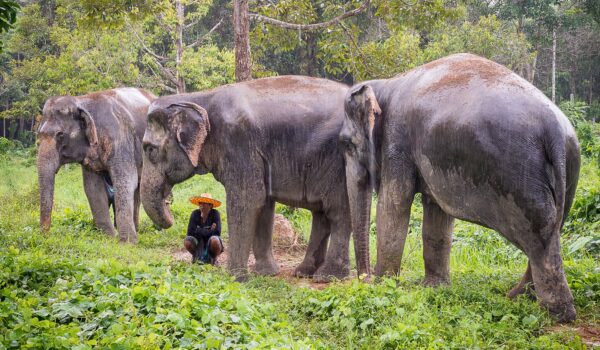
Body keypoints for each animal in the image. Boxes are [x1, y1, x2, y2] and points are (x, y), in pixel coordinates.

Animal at [36, 87, 156, 243]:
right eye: (39, 134)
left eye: (60, 134)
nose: (46, 236)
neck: (80, 101)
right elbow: (92, 187)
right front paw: (109, 238)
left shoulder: (120, 139)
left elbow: (125, 180)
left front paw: (127, 243)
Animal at [141, 76, 372, 282]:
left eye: (150, 149)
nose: (170, 213)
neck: (198, 98)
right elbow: (264, 206)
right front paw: (266, 274)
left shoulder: (239, 144)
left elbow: (247, 201)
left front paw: (236, 278)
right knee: (321, 213)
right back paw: (304, 273)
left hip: (339, 163)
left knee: (338, 211)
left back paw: (326, 277)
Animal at [342, 52, 580, 322]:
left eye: (346, 143)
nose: (364, 279)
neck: (385, 84)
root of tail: (556, 131)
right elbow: (436, 212)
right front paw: (434, 288)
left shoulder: (397, 142)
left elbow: (393, 205)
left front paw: (384, 287)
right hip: (568, 170)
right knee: (553, 229)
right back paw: (518, 296)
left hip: (523, 177)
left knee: (540, 238)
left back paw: (556, 314)